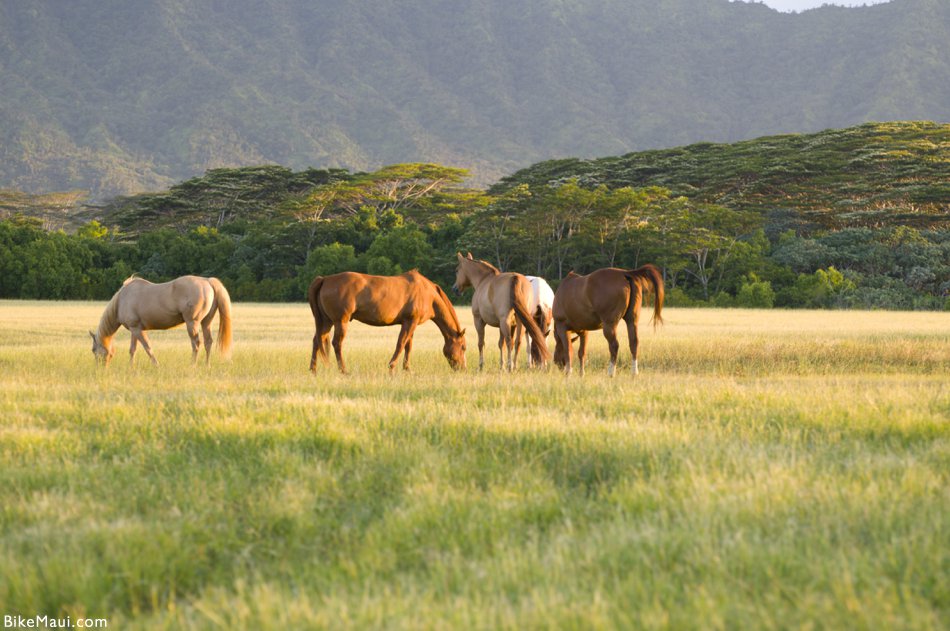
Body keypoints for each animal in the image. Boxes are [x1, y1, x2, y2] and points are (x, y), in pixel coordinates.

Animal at [89, 274, 234, 368]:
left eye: (93, 350)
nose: (100, 369)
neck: (122, 300)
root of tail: (207, 281)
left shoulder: (137, 330)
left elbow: (148, 347)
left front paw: (156, 365)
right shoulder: (134, 330)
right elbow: (132, 349)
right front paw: (131, 367)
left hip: (192, 323)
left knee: (196, 343)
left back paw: (192, 365)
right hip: (206, 322)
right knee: (208, 342)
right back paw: (207, 365)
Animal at [306, 268, 466, 376]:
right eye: (463, 347)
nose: (463, 369)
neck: (428, 294)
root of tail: (324, 279)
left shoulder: (410, 322)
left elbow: (408, 346)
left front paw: (407, 369)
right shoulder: (410, 322)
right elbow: (400, 344)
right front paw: (392, 367)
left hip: (326, 321)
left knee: (317, 340)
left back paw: (313, 370)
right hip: (340, 321)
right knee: (336, 343)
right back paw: (343, 370)